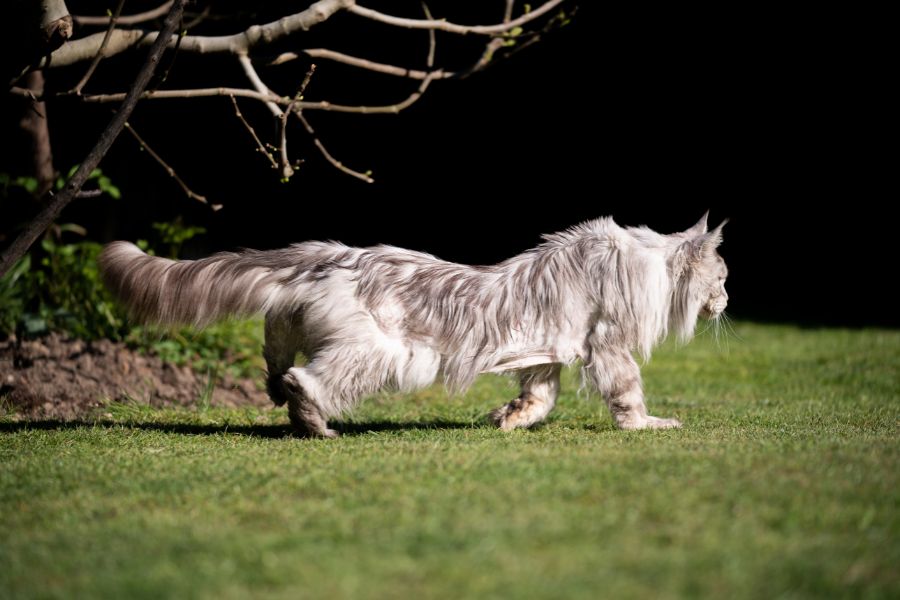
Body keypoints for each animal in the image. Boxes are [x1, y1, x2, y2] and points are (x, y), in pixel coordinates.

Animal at [98, 213, 728, 438]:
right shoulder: (607, 344)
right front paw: (648, 425)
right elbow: (628, 396)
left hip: (291, 322)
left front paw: (509, 419)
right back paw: (313, 425)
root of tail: (330, 253)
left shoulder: (547, 351)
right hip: (379, 352)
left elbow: (538, 397)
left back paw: (281, 397)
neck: (645, 262)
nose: (728, 301)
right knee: (309, 381)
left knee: (276, 361)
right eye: (721, 278)